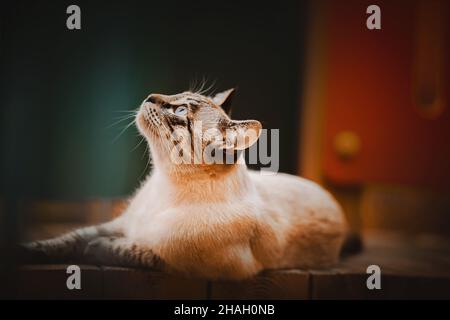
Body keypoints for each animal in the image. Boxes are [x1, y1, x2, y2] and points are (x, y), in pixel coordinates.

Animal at [22, 89, 356, 278]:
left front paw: (97, 249)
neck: (166, 186)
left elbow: (124, 250)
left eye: (181, 111)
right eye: (175, 95)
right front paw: (27, 253)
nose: (149, 96)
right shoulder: (121, 224)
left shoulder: (177, 262)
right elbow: (68, 239)